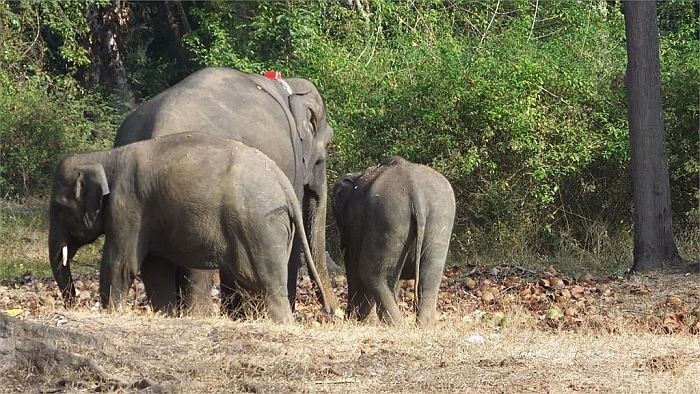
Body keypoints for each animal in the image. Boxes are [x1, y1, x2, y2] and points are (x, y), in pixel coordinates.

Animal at [48, 132, 330, 324]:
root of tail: (284, 185)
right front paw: (165, 314)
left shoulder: (126, 206)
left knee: (268, 284)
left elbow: (121, 264)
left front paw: (112, 313)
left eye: (59, 208)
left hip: (260, 226)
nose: (73, 304)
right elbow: (155, 267)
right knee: (252, 281)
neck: (104, 157)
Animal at [113, 67, 338, 314]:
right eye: (328, 145)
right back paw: (199, 313)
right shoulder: (294, 164)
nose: (331, 312)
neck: (288, 85)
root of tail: (158, 131)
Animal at [332, 155, 456, 328]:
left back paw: (396, 325)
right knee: (430, 274)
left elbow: (353, 264)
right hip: (438, 219)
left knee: (369, 271)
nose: (347, 316)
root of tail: (416, 192)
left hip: (387, 217)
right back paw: (423, 326)